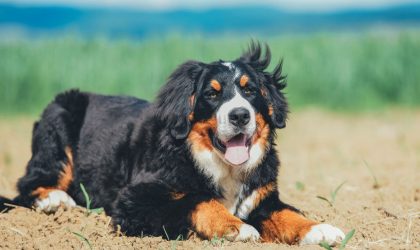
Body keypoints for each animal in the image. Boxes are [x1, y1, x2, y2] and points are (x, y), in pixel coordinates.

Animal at [0, 42, 344, 245]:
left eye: (250, 91)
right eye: (212, 94)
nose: (239, 116)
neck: (218, 164)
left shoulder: (262, 197)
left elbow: (286, 213)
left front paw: (320, 229)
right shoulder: (135, 199)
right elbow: (197, 201)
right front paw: (237, 227)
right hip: (58, 120)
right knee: (29, 183)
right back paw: (56, 200)